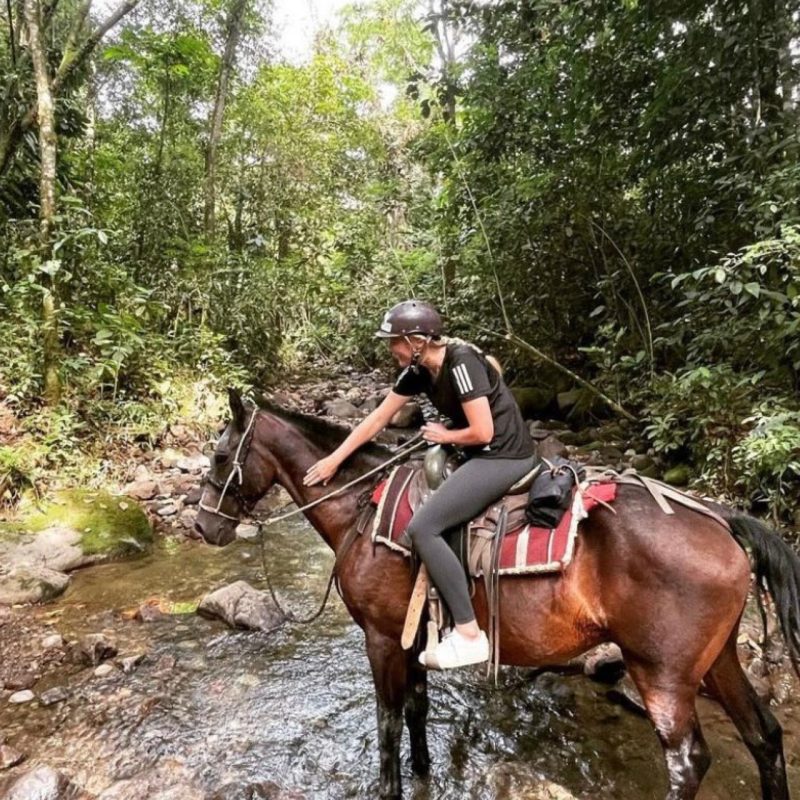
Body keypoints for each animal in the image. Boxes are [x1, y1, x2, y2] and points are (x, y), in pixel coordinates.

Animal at [195, 392, 800, 800]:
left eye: (221, 458)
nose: (203, 527)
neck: (362, 510)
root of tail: (719, 519)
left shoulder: (382, 638)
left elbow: (388, 721)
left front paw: (391, 785)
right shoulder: (414, 637)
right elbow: (416, 708)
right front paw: (424, 772)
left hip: (662, 673)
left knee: (688, 761)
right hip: (716, 659)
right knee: (764, 734)